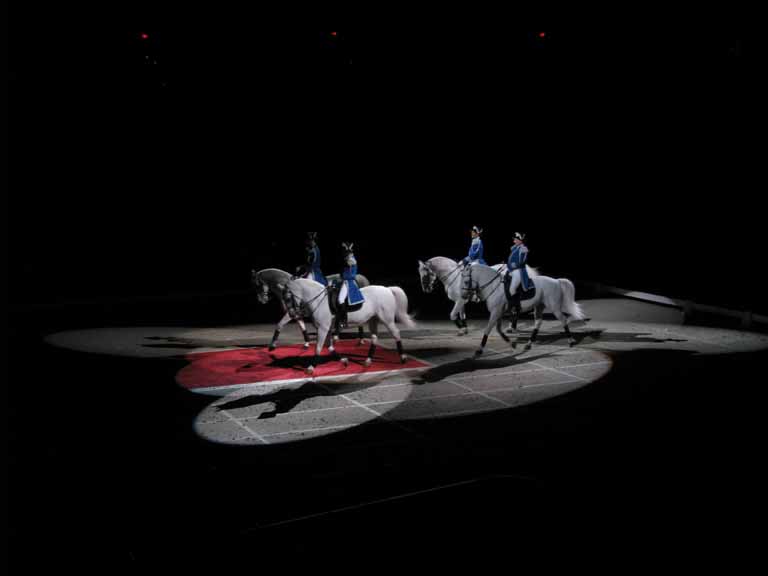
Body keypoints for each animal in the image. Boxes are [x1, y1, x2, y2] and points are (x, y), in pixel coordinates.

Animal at [282, 278, 414, 376]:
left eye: (288, 298)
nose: (292, 315)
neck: (319, 300)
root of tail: (387, 289)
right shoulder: (327, 328)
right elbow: (329, 347)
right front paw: (344, 361)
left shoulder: (323, 328)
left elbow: (318, 348)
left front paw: (310, 368)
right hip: (373, 319)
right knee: (374, 337)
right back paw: (368, 361)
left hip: (387, 319)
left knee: (396, 333)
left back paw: (403, 358)